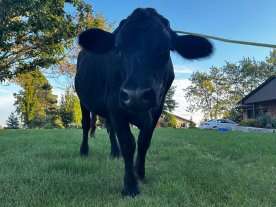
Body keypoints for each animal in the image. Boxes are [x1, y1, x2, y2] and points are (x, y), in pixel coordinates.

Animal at [74, 7, 212, 196]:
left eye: (165, 49)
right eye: (118, 49)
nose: (136, 95)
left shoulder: (156, 109)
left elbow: (143, 142)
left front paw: (139, 173)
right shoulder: (115, 104)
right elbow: (128, 143)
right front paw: (130, 186)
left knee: (110, 129)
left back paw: (114, 152)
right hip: (83, 99)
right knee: (86, 124)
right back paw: (84, 151)